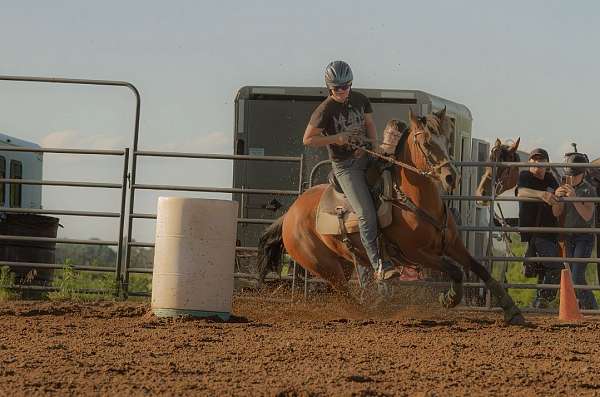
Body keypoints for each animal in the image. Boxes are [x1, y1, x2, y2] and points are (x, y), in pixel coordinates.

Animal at [258, 107, 524, 322]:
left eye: (447, 142)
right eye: (426, 144)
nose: (451, 177)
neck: (414, 201)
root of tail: (290, 214)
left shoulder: (453, 244)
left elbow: (479, 268)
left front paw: (512, 311)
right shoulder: (415, 253)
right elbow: (455, 270)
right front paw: (449, 298)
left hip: (342, 262)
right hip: (323, 266)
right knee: (344, 295)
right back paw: (371, 310)